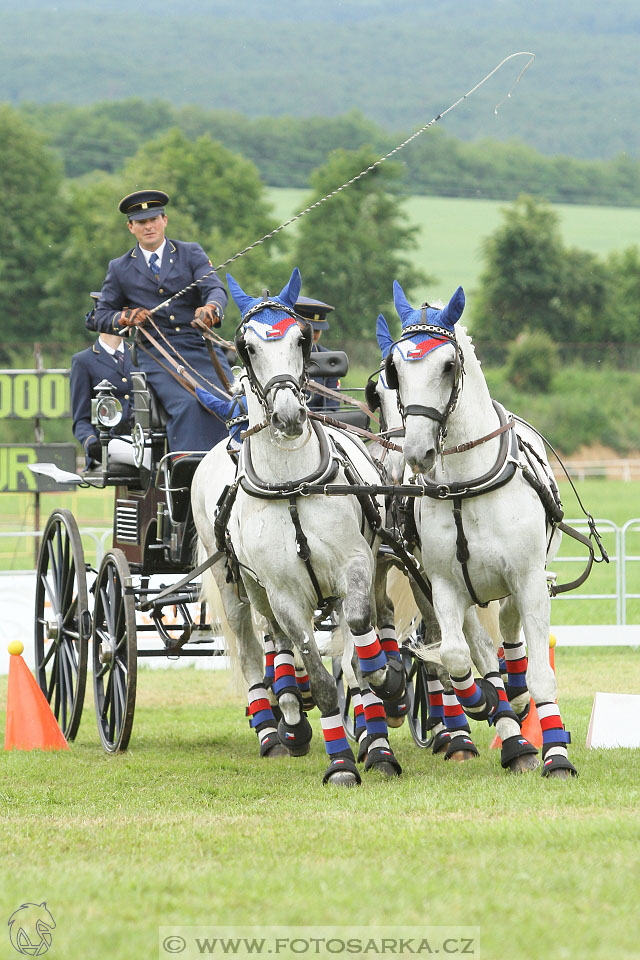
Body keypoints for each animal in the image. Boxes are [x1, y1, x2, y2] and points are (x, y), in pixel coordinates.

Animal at [191, 266, 404, 784]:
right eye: (245, 346)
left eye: (301, 338)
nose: (288, 415)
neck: (291, 485)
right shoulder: (285, 593)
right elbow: (322, 679)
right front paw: (341, 764)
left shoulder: (354, 566)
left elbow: (360, 647)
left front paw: (384, 706)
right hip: (238, 586)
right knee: (259, 647)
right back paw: (277, 727)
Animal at [384, 282, 576, 776]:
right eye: (394, 370)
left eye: (448, 366)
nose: (418, 452)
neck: (463, 487)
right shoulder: (444, 586)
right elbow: (455, 657)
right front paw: (485, 704)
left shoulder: (529, 581)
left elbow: (541, 673)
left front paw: (556, 754)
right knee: (482, 650)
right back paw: (512, 737)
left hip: (517, 584)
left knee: (510, 633)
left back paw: (519, 700)